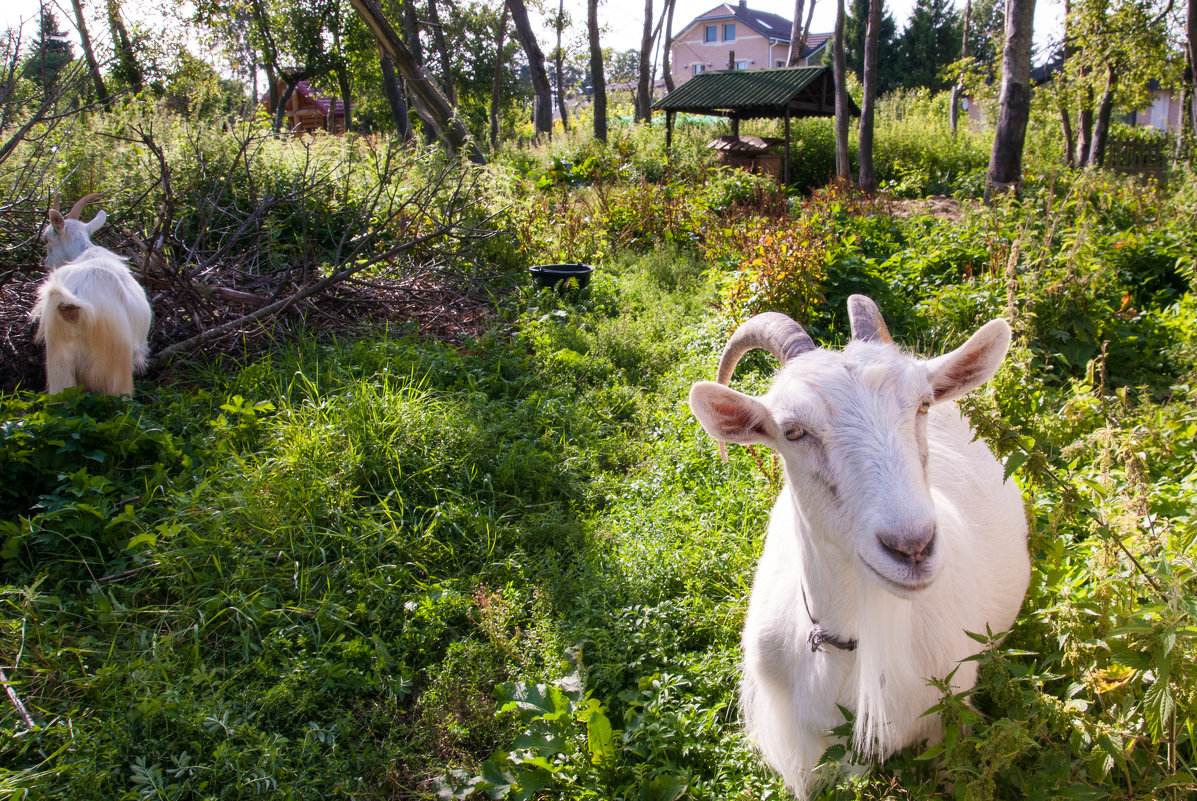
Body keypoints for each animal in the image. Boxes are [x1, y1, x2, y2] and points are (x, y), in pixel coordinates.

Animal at [689, 296, 1034, 795]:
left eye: (922, 403)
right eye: (792, 431)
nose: (911, 547)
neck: (853, 648)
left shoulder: (948, 716)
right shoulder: (799, 750)